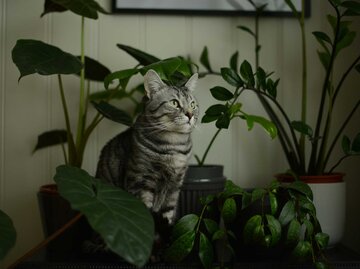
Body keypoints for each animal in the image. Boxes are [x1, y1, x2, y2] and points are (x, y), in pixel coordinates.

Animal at [95, 68, 198, 222]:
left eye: (192, 104)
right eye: (174, 103)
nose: (190, 114)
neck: (174, 145)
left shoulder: (175, 187)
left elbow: (168, 213)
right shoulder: (141, 181)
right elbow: (147, 214)